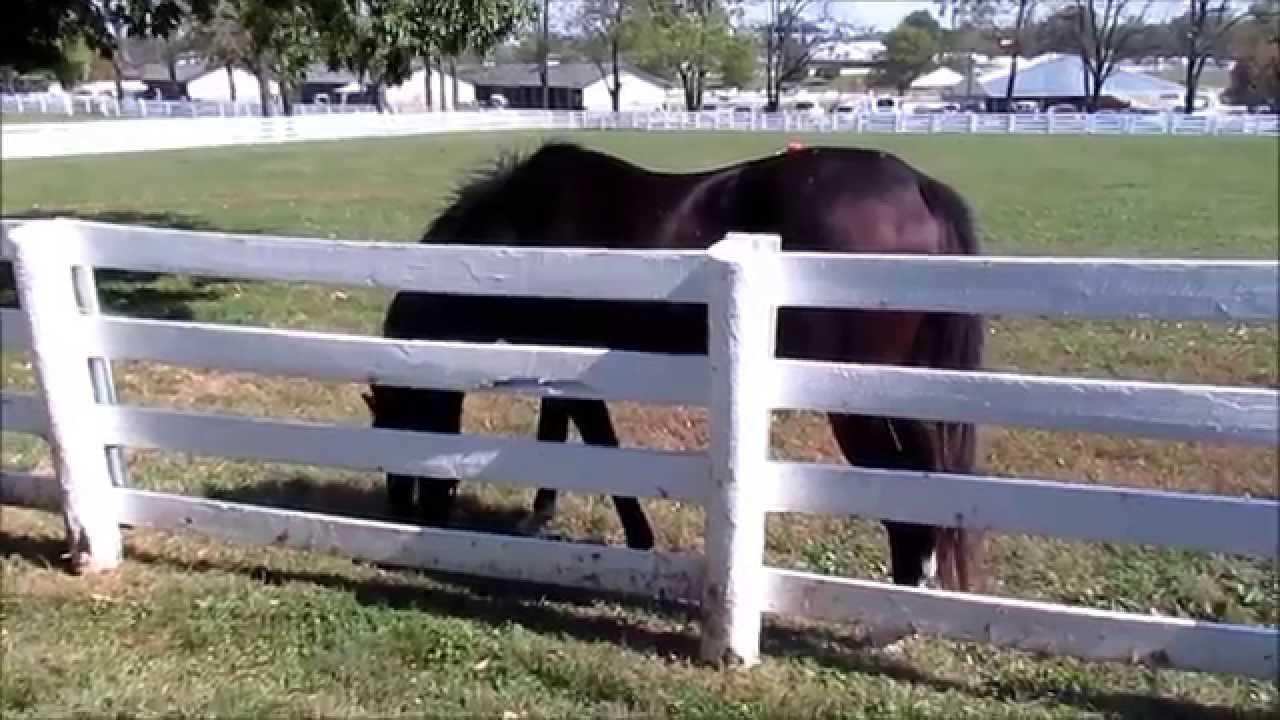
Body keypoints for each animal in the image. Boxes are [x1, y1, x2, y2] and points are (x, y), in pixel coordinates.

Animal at [361, 140, 988, 593]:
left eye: (398, 418)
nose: (404, 508)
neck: (524, 236)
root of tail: (917, 189)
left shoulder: (579, 372)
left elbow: (599, 444)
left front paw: (638, 538)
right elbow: (555, 433)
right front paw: (540, 515)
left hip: (856, 393)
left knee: (906, 475)